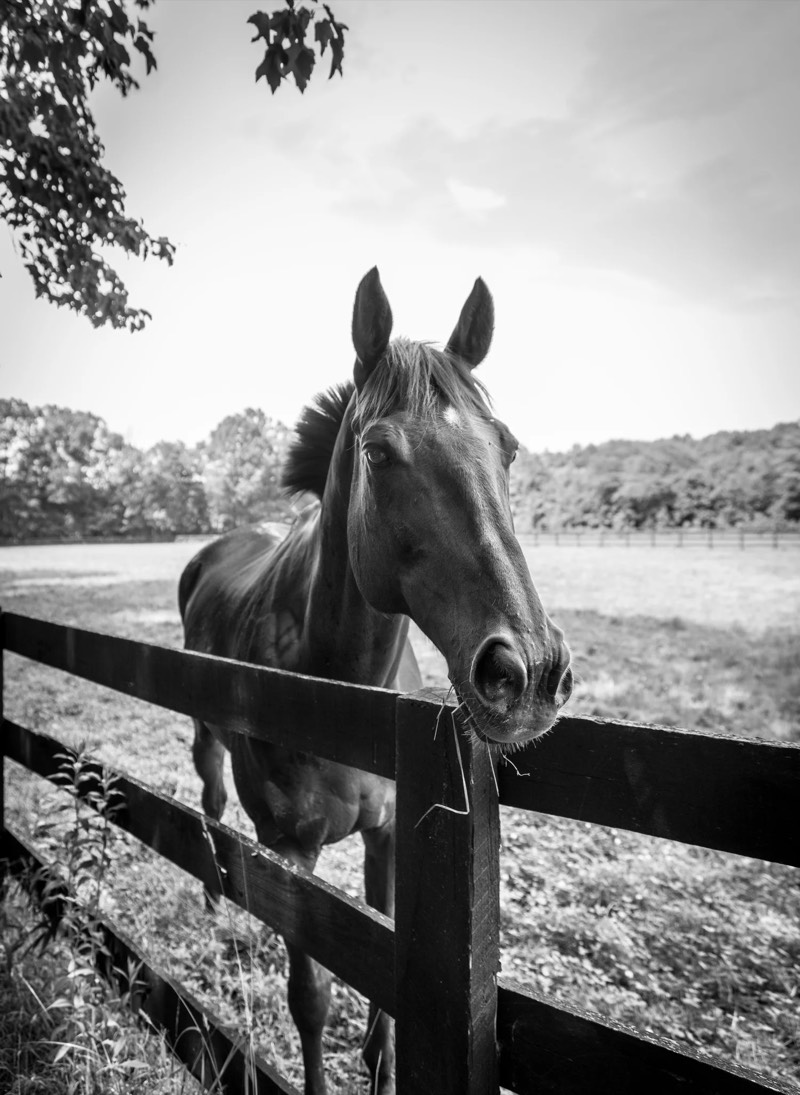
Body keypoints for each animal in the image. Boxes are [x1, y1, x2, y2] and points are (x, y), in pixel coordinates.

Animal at [178, 268, 573, 1095]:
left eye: (508, 447)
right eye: (379, 451)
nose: (528, 672)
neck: (338, 695)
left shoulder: (389, 838)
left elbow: (385, 1012)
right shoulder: (290, 851)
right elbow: (310, 997)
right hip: (204, 734)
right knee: (210, 799)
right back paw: (213, 896)